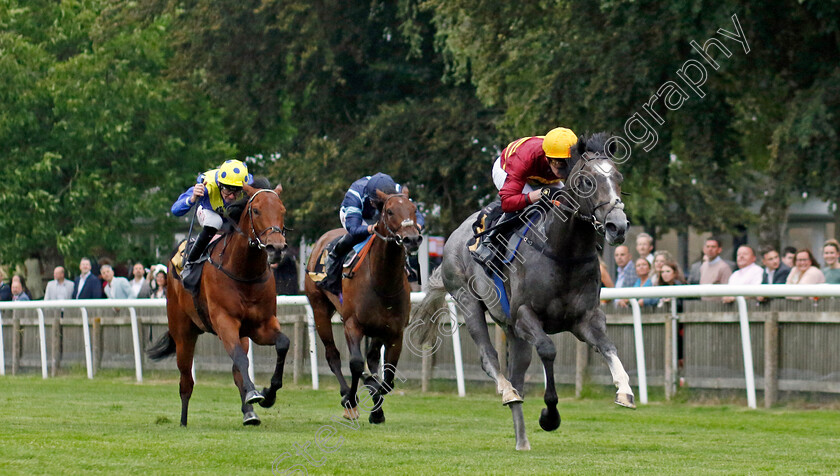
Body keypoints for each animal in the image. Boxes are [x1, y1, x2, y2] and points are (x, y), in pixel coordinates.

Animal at [145, 183, 288, 428]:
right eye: (256, 210)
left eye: (282, 210)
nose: (276, 248)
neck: (244, 272)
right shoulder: (224, 321)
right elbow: (240, 358)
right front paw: (255, 393)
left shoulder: (260, 325)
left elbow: (282, 344)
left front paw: (268, 394)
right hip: (183, 333)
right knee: (186, 379)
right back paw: (183, 421)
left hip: (240, 334)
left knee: (236, 370)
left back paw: (249, 414)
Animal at [304, 190, 424, 424]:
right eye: (389, 211)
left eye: (414, 209)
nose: (412, 238)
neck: (382, 282)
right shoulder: (352, 325)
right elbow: (357, 364)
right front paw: (352, 399)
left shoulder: (394, 332)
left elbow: (388, 378)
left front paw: (376, 407)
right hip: (319, 309)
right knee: (333, 355)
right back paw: (348, 398)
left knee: (373, 359)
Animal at [410, 132, 632, 452]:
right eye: (586, 181)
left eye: (618, 177)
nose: (618, 226)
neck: (563, 251)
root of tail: (454, 236)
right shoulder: (526, 315)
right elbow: (549, 350)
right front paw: (549, 416)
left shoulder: (585, 318)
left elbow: (608, 347)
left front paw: (625, 391)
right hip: (468, 302)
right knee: (490, 359)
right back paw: (507, 393)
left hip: (512, 329)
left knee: (517, 373)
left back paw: (522, 439)